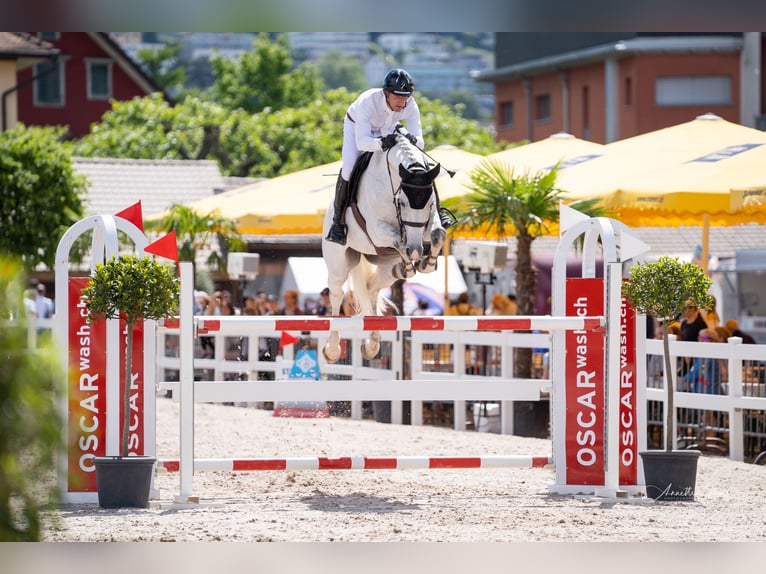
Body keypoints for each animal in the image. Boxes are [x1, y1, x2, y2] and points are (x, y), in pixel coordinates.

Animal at [322, 132, 444, 362]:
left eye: (429, 203)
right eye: (402, 202)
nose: (416, 251)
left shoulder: (427, 224)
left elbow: (438, 234)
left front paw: (427, 264)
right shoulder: (378, 229)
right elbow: (399, 241)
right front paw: (412, 263)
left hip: (385, 267)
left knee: (372, 289)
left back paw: (371, 344)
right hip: (339, 265)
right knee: (336, 295)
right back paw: (332, 349)